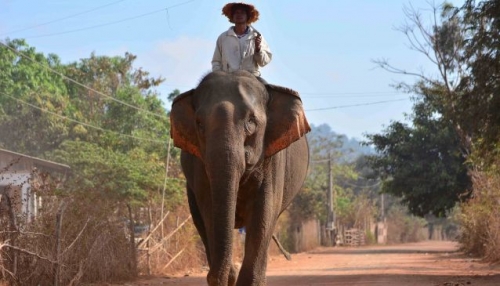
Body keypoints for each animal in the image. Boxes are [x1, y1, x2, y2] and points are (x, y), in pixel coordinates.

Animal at [170, 70, 308, 286]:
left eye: (251, 121)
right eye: (199, 123)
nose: (213, 277)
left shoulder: (272, 159)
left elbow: (263, 213)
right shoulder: (199, 165)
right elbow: (209, 211)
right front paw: (228, 276)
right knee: (200, 220)